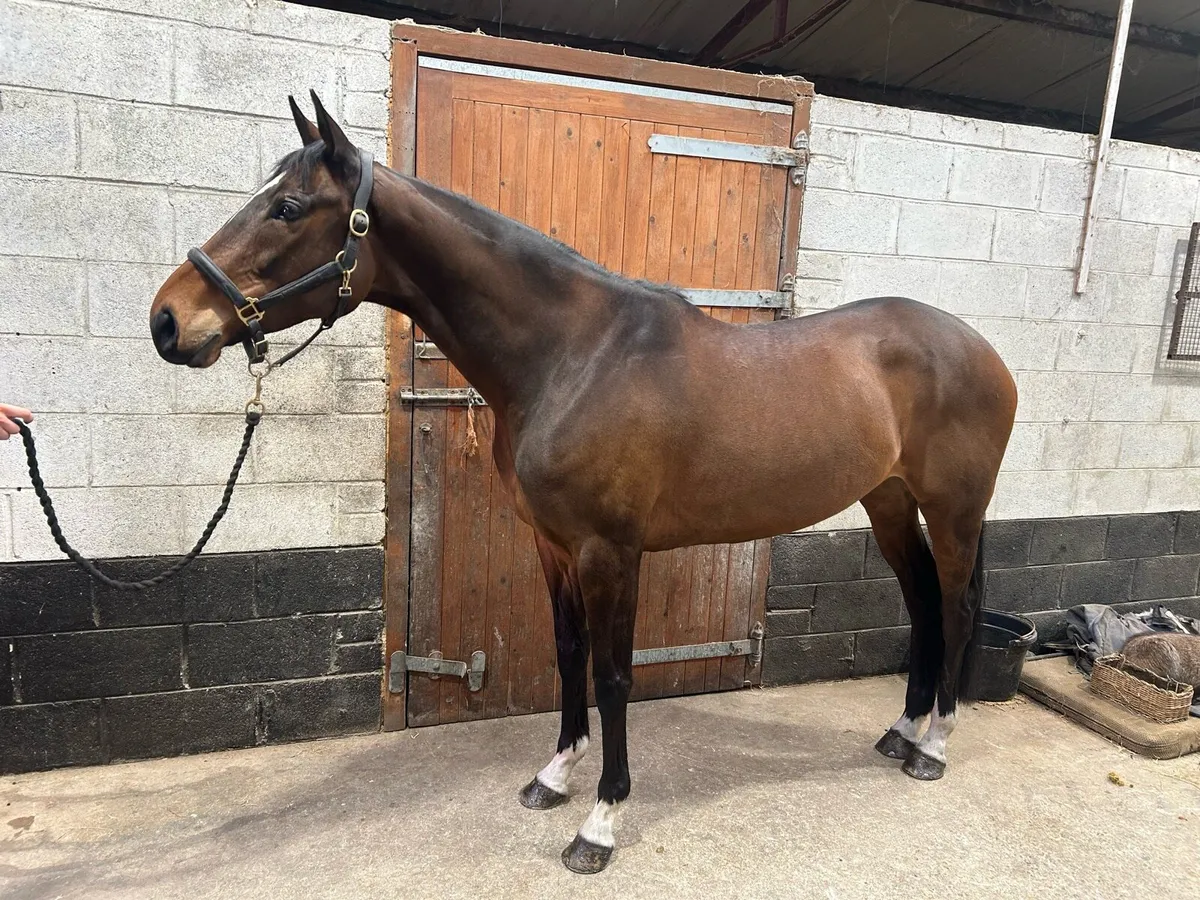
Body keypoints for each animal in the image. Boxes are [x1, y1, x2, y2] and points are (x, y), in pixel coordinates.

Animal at [149, 93, 1017, 874]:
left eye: (289, 208)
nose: (167, 320)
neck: (573, 355)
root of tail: (983, 351)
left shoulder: (610, 551)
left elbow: (612, 672)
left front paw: (600, 821)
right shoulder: (554, 544)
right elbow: (567, 656)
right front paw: (555, 777)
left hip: (953, 509)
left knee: (956, 605)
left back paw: (935, 746)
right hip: (888, 502)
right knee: (922, 604)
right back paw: (902, 732)